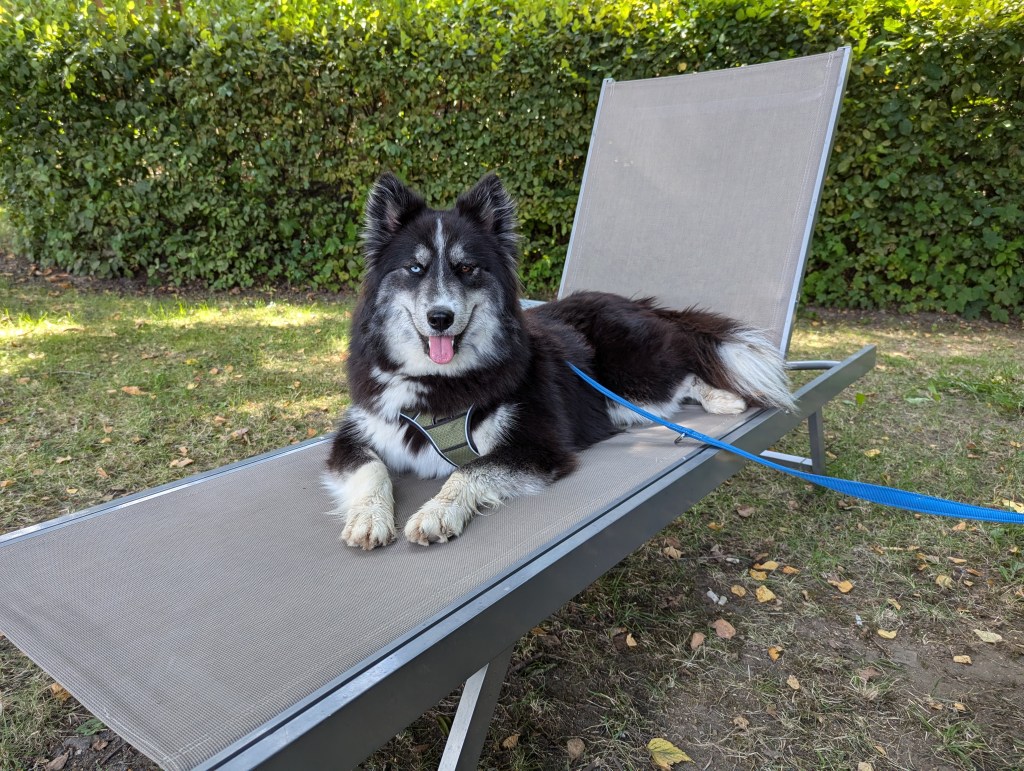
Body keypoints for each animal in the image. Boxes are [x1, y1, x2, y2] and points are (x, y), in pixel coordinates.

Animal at [324, 173, 795, 550]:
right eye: (415, 268)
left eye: (467, 268)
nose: (441, 317)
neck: (438, 382)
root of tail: (638, 304)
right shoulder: (355, 433)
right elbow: (372, 470)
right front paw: (368, 518)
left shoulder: (538, 446)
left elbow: (470, 470)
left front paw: (437, 511)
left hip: (632, 381)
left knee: (684, 372)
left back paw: (722, 399)